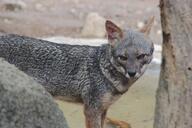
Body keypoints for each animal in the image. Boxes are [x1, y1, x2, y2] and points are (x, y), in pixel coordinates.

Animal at [0, 17, 154, 128]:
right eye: (123, 58)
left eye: (141, 56)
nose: (132, 73)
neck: (102, 69)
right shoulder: (91, 110)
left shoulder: (103, 110)